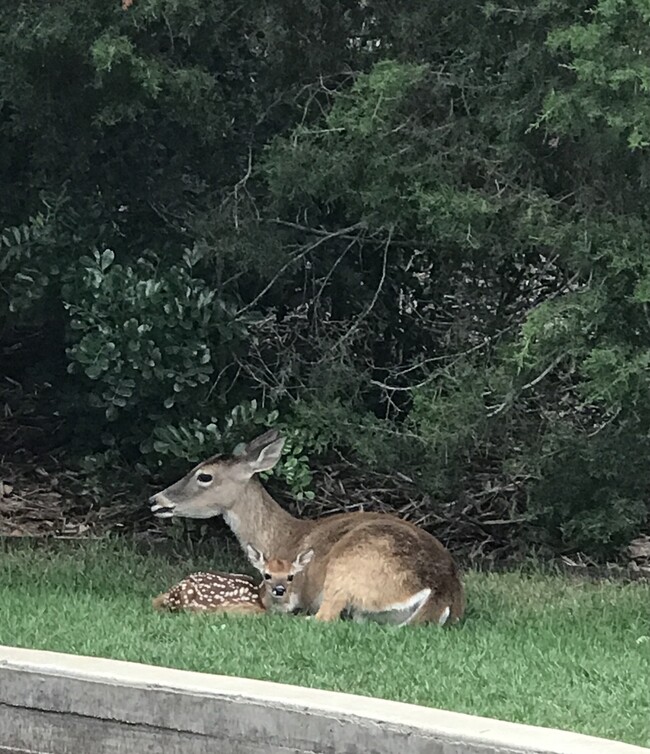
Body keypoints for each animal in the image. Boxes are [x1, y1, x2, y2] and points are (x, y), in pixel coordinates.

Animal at [149, 428, 464, 624]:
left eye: (204, 476)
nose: (155, 500)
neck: (282, 538)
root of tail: (441, 590)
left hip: (348, 569)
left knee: (323, 618)